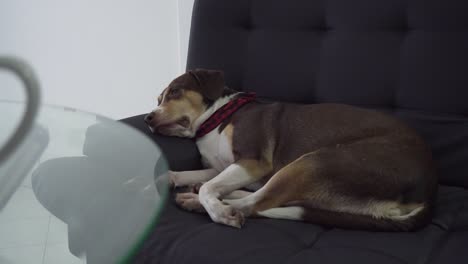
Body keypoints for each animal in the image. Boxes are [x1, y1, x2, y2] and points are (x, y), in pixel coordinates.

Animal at [144, 68, 436, 231]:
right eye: (158, 99)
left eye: (175, 92)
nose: (147, 118)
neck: (217, 118)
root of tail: (427, 191)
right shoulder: (220, 167)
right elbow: (192, 176)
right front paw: (161, 180)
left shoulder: (251, 162)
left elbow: (209, 187)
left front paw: (217, 209)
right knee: (269, 198)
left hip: (314, 162)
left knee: (257, 203)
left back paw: (207, 205)